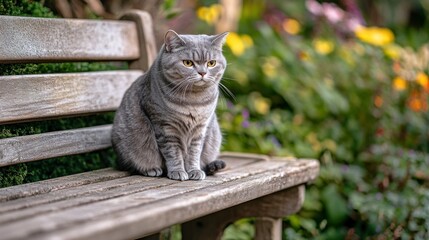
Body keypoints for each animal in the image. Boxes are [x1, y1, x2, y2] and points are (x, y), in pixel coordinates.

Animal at [112, 29, 229, 180]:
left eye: (211, 63)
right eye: (188, 63)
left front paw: (194, 170)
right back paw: (151, 169)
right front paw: (177, 171)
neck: (193, 99)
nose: (203, 73)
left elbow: (194, 153)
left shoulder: (200, 129)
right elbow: (173, 153)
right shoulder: (165, 127)